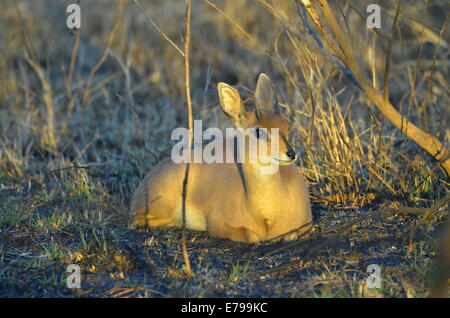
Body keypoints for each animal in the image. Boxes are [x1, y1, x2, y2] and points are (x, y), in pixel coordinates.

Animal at [130, 73, 312, 242]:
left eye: (286, 125)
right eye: (258, 131)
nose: (291, 153)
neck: (266, 215)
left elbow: (290, 235)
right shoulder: (220, 226)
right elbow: (251, 236)